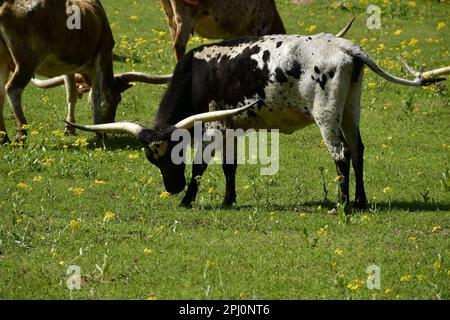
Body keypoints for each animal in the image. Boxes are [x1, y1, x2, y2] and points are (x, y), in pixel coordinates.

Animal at [67, 33, 446, 210]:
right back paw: (362, 201)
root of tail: (346, 48)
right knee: (358, 150)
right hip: (352, 106)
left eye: (176, 152)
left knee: (341, 154)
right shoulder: (231, 127)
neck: (197, 74)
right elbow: (230, 167)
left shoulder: (214, 126)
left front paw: (187, 200)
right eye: (151, 158)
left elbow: (202, 166)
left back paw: (343, 204)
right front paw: (227, 199)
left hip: (326, 114)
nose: (172, 187)